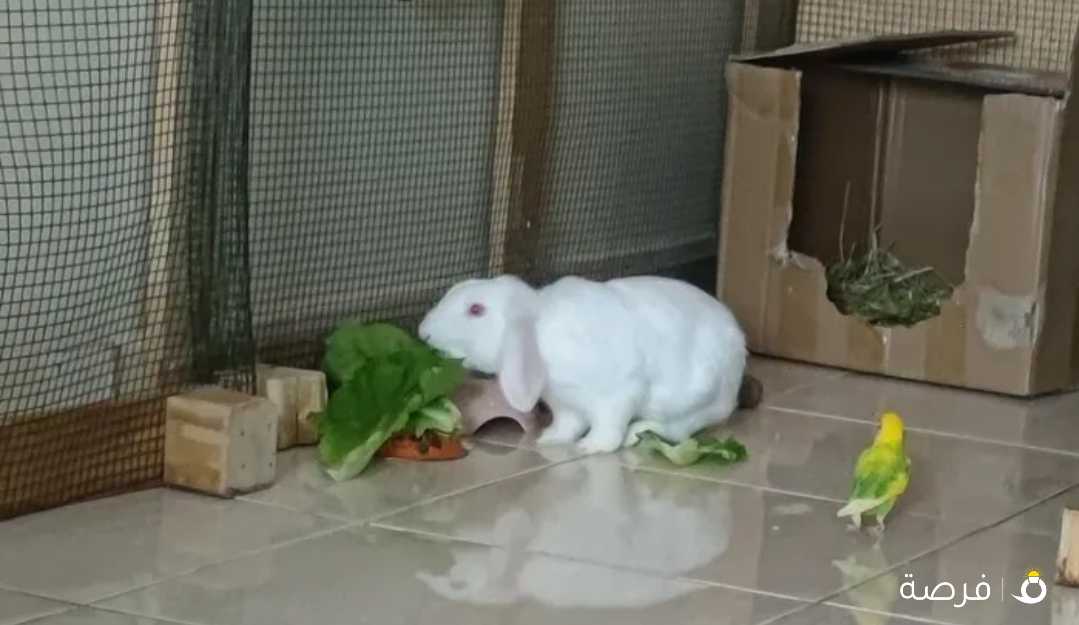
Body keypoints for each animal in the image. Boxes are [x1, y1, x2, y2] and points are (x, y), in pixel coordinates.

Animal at [419, 274, 758, 455]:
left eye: (476, 310)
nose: (424, 332)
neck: (540, 331)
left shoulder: (618, 394)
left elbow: (609, 427)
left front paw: (590, 447)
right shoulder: (566, 405)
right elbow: (567, 424)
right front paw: (550, 439)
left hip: (693, 402)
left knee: (673, 429)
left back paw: (636, 434)